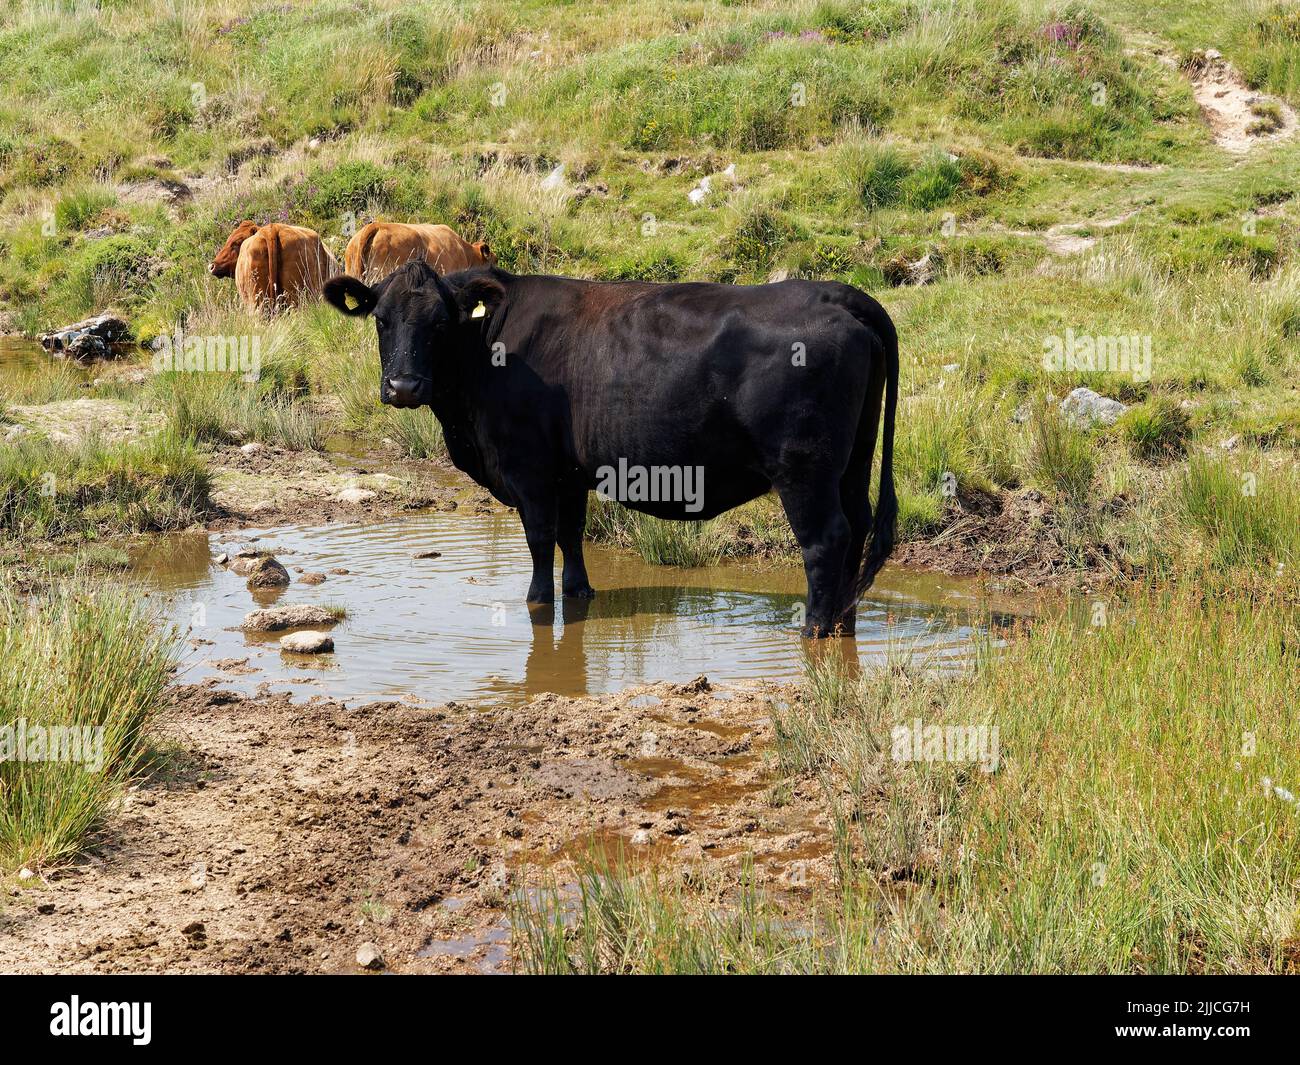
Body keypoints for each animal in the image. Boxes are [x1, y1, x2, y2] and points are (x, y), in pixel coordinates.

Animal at [322, 263, 894, 637]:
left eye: (440, 322)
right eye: (381, 319)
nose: (403, 386)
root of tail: (838, 294)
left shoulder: (529, 468)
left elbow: (540, 539)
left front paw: (538, 604)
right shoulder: (569, 473)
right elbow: (571, 536)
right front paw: (578, 595)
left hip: (803, 470)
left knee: (826, 541)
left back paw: (814, 630)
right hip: (853, 462)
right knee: (859, 527)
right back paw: (842, 624)